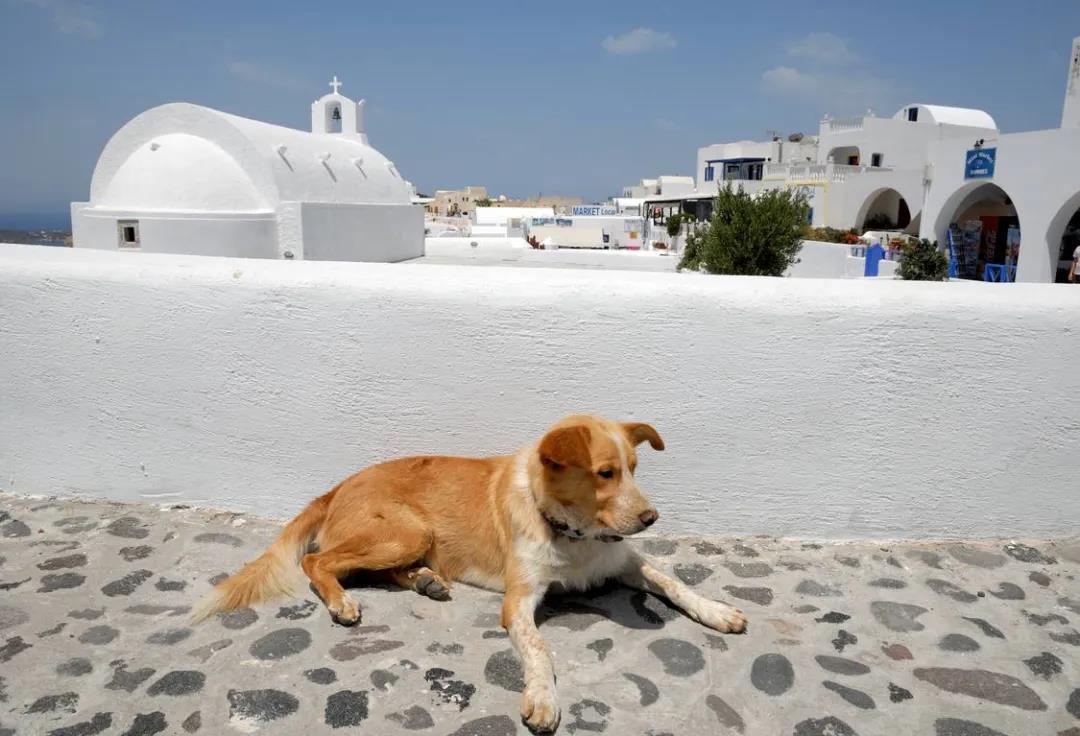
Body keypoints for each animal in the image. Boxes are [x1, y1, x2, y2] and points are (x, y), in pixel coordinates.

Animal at [194, 417, 747, 730]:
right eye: (605, 473)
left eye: (634, 469)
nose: (652, 518)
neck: (574, 535)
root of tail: (337, 486)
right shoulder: (519, 599)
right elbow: (539, 650)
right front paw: (543, 698)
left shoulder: (627, 561)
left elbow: (675, 581)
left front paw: (718, 611)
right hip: (406, 530)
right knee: (318, 561)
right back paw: (341, 600)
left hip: (411, 538)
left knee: (379, 568)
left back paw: (426, 581)